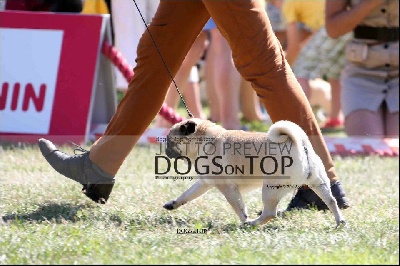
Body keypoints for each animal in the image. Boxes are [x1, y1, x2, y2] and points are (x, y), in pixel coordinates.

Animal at [162, 118, 344, 227]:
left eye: (171, 141)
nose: (165, 149)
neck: (205, 138)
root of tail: (299, 142)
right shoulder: (204, 182)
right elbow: (187, 194)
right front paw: (173, 204)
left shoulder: (228, 188)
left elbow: (239, 207)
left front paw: (244, 220)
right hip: (319, 183)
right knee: (331, 201)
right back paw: (339, 221)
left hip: (270, 189)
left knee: (269, 213)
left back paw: (252, 224)